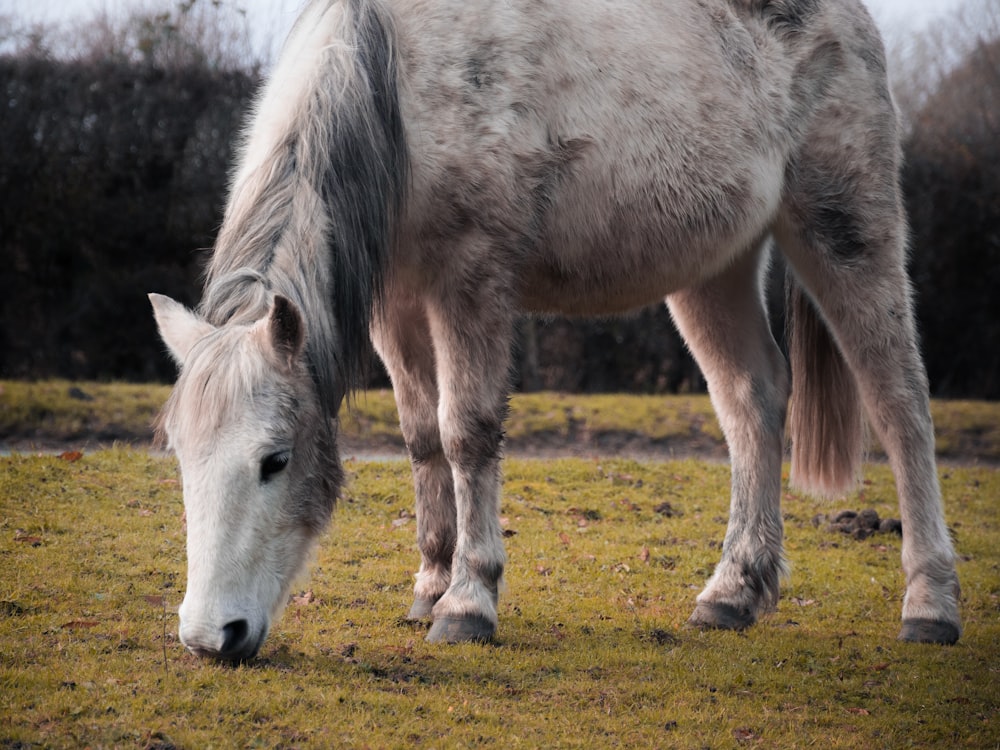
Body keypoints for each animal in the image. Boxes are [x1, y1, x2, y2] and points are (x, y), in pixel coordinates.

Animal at [146, 0, 960, 660]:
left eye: (275, 461)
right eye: (182, 457)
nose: (211, 636)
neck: (397, 80)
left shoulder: (470, 280)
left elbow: (466, 432)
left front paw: (467, 603)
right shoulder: (397, 302)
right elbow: (420, 437)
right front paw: (429, 587)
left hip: (846, 229)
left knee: (898, 402)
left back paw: (929, 605)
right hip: (715, 269)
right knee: (751, 399)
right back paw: (734, 591)